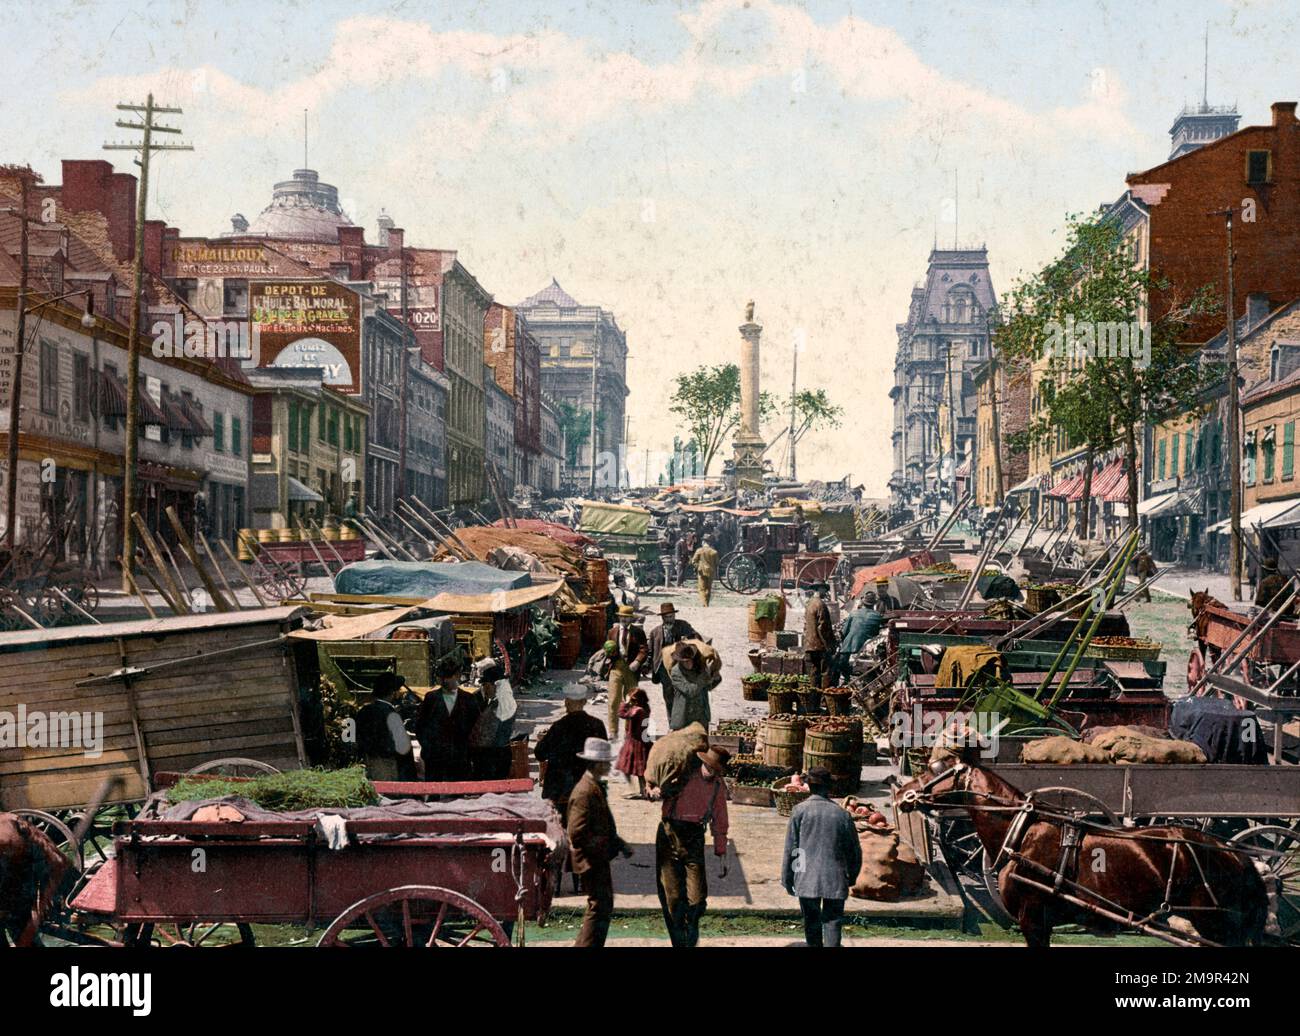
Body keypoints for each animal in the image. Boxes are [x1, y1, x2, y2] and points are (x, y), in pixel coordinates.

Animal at [894, 753, 1268, 946]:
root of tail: (1236, 854)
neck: (1021, 834)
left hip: (1215, 924)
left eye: (936, 769)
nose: (899, 792)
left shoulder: (1033, 919)